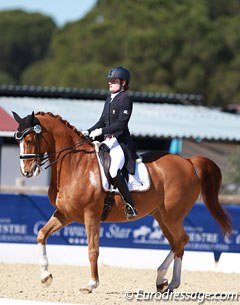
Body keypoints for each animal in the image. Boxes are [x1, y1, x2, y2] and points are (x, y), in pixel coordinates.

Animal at [12, 110, 231, 290]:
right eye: (18, 141)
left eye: (29, 139)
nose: (26, 171)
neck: (75, 164)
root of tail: (188, 162)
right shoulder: (65, 215)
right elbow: (41, 234)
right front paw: (45, 276)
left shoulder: (91, 215)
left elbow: (93, 249)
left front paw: (91, 284)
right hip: (161, 216)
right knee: (177, 243)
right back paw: (162, 280)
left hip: (172, 216)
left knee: (181, 241)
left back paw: (172, 282)